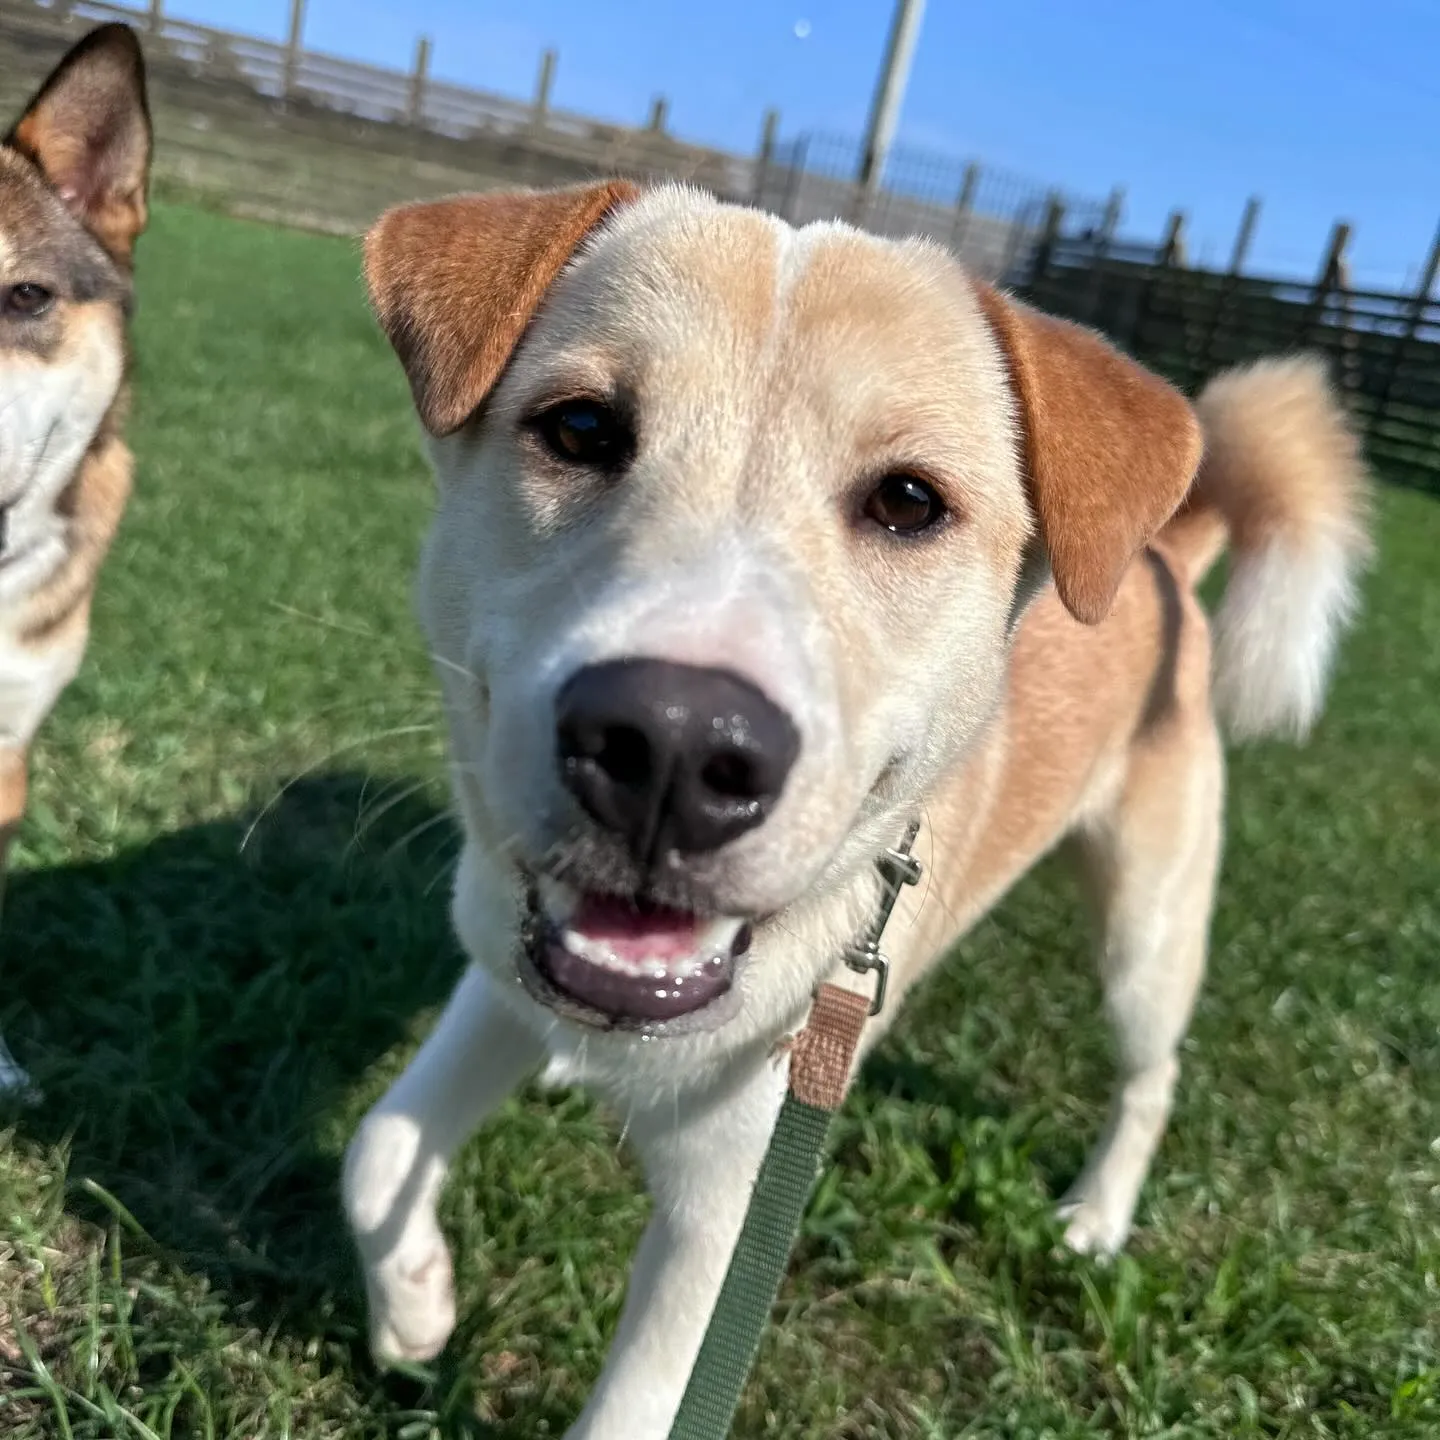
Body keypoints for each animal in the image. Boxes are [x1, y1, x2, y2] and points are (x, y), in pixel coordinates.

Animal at [339, 185, 1370, 1434]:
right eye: (579, 428)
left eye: (909, 501)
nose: (674, 746)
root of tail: (1166, 556)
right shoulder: (502, 966)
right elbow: (377, 1147)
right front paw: (415, 1305)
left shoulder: (725, 1219)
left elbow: (634, 1406)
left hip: (1147, 935)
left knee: (1152, 1075)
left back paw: (1097, 1213)